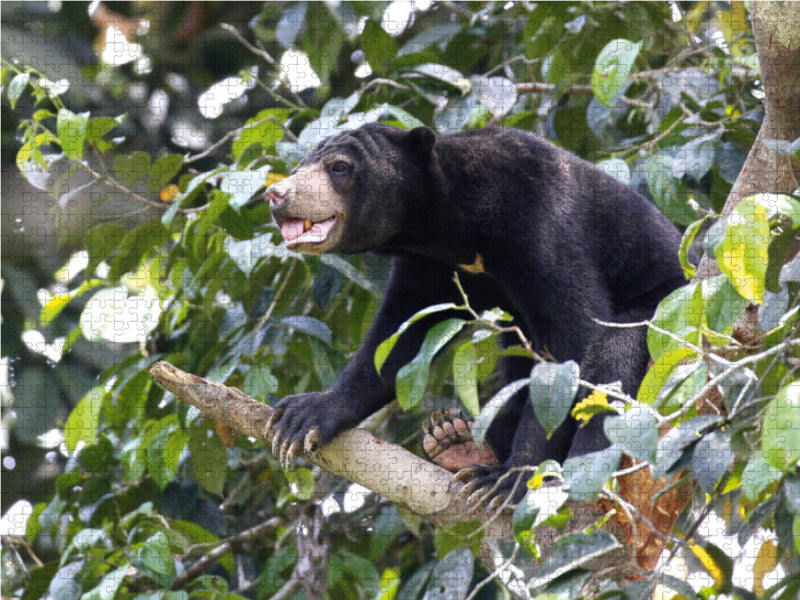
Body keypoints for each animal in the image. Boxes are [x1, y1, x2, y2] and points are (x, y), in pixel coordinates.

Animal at [264, 125, 688, 506]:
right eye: (299, 166)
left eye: (339, 167)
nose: (276, 194)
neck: (452, 225)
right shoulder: (430, 267)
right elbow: (399, 335)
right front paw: (305, 416)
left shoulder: (543, 224)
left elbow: (575, 337)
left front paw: (512, 478)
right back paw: (455, 441)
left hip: (667, 315)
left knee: (614, 356)